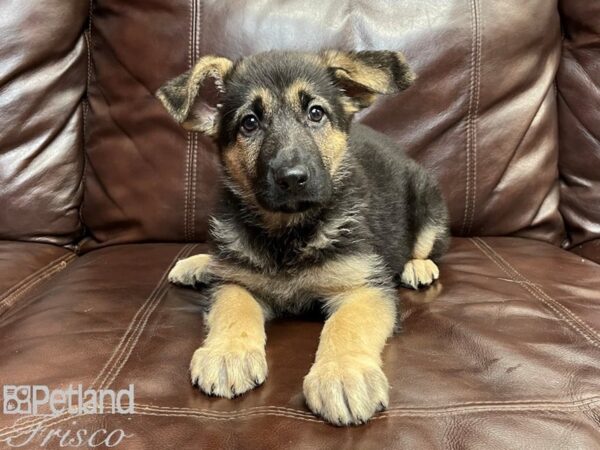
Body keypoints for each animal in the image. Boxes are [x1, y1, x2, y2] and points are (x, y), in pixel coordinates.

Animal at [157, 49, 448, 426]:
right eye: (249, 122)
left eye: (315, 113)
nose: (292, 178)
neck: (289, 231)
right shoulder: (235, 282)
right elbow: (233, 307)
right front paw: (227, 352)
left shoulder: (364, 287)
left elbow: (346, 324)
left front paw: (343, 374)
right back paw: (200, 264)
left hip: (427, 200)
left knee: (427, 244)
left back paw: (418, 267)